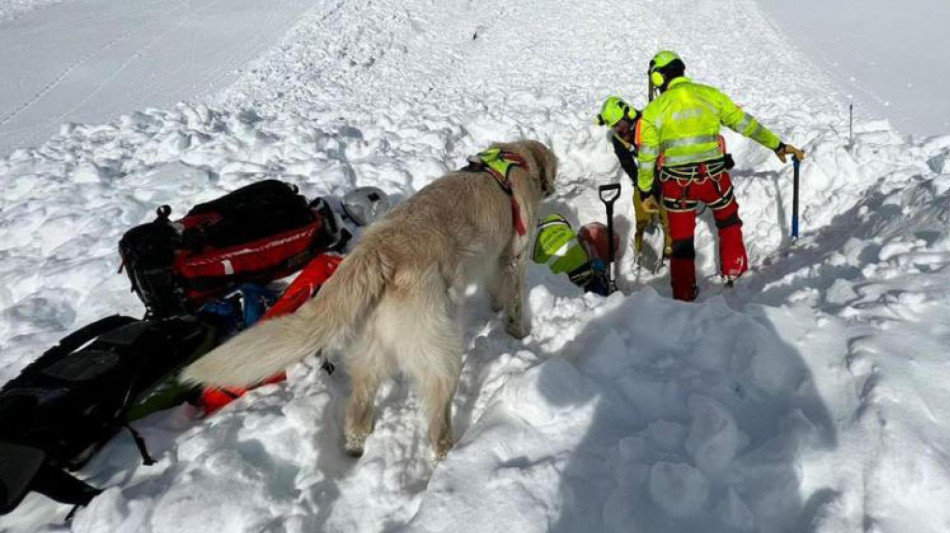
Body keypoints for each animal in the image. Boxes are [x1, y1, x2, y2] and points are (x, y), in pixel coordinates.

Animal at [180, 139, 556, 460]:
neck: (514, 160)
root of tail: (377, 252)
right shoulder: (515, 255)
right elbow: (515, 298)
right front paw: (519, 333)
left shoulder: (496, 261)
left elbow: (496, 289)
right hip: (440, 350)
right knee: (436, 419)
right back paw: (448, 455)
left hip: (371, 350)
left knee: (358, 412)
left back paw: (355, 448)